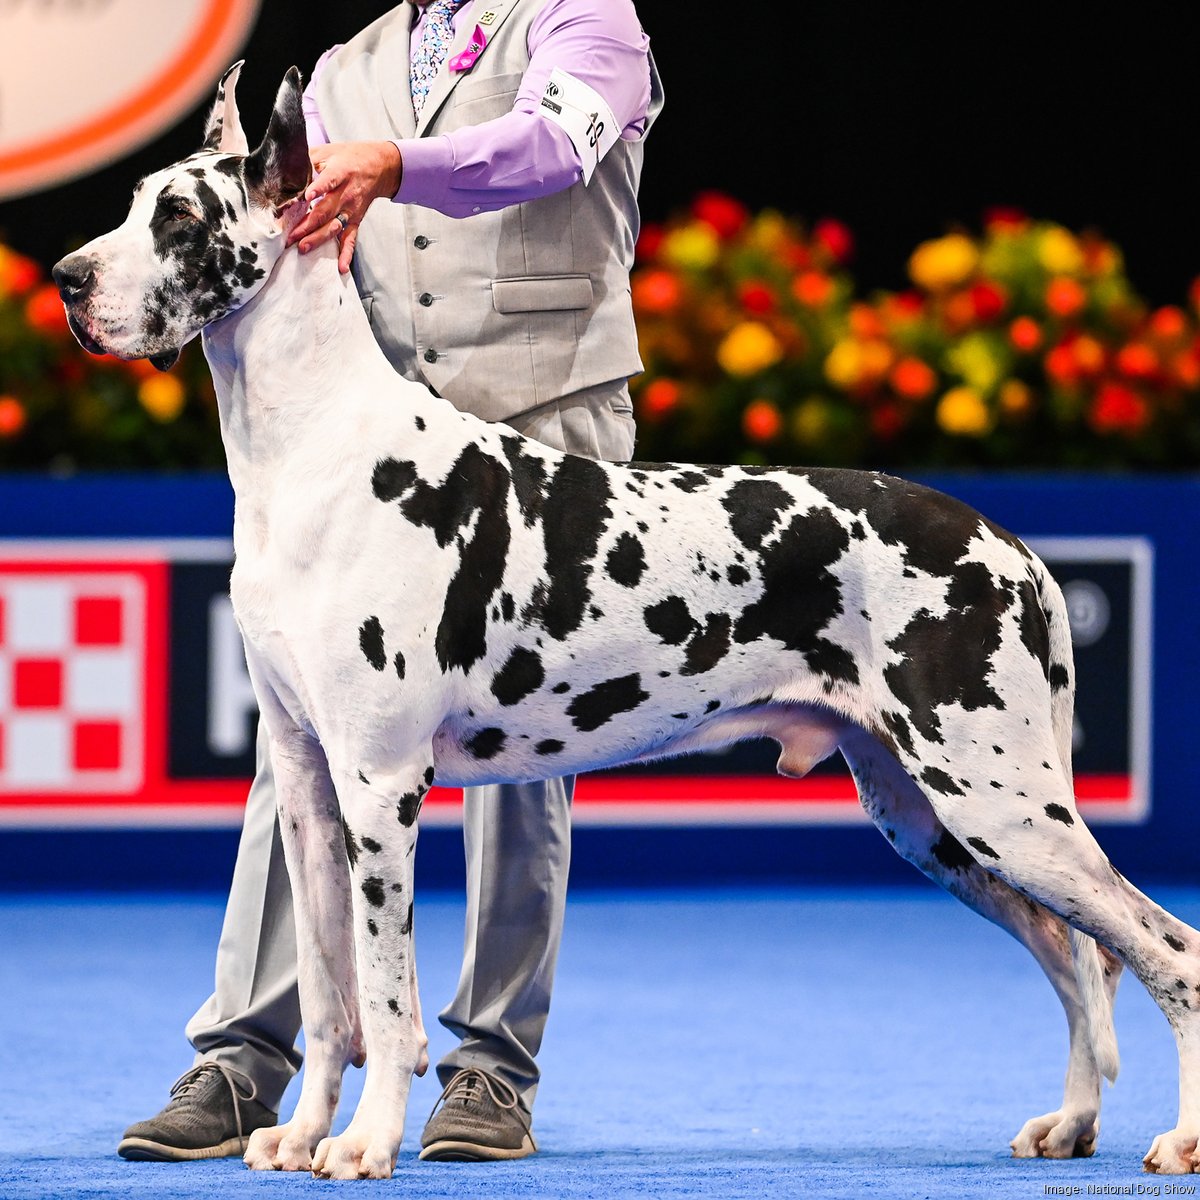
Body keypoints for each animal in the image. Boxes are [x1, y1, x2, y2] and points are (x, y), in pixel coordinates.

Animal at [56, 63, 1200, 1171]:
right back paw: (1071, 1123)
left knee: (1162, 949)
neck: (316, 441)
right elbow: (332, 997)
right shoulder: (305, 784)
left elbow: (385, 1002)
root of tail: (1012, 548)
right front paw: (299, 1136)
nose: (67, 279)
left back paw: (1178, 1139)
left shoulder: (380, 787)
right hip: (933, 820)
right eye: (131, 206)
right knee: (1077, 958)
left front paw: (366, 1143)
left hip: (1001, 803)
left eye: (180, 221)